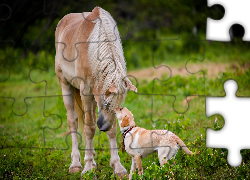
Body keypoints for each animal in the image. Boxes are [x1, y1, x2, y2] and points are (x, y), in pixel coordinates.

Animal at [55, 6, 137, 177]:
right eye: (105, 102)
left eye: (118, 105)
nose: (103, 127)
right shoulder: (86, 92)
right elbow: (89, 128)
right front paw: (86, 168)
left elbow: (112, 130)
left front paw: (118, 167)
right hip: (65, 85)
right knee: (73, 121)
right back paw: (76, 164)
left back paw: (92, 161)